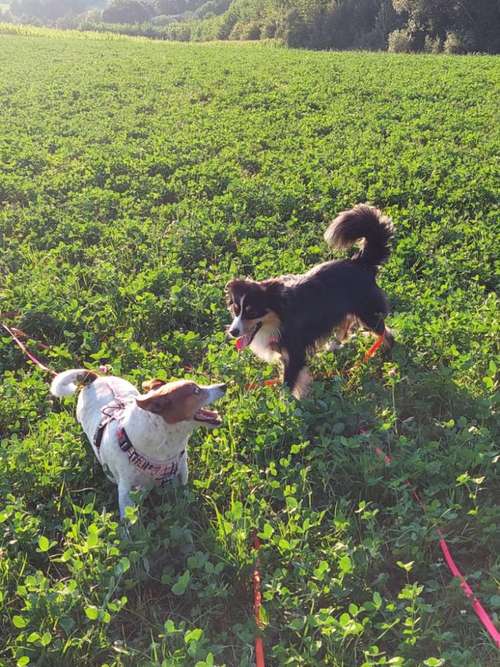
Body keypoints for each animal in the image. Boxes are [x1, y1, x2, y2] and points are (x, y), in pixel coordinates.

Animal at [227, 204, 394, 400]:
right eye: (236, 310)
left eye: (252, 311)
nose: (232, 332)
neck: (278, 318)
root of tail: (360, 262)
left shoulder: (294, 353)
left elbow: (288, 384)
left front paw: (285, 405)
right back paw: (336, 345)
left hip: (368, 313)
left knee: (386, 334)